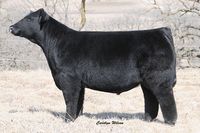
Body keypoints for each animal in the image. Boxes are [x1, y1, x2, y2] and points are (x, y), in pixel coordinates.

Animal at [10, 8, 177, 124]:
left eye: (29, 19)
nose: (11, 27)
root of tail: (161, 30)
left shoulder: (68, 78)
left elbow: (70, 100)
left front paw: (67, 120)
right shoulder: (79, 82)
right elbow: (79, 101)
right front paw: (75, 118)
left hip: (159, 79)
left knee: (166, 99)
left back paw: (170, 122)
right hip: (147, 81)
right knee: (151, 99)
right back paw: (148, 119)